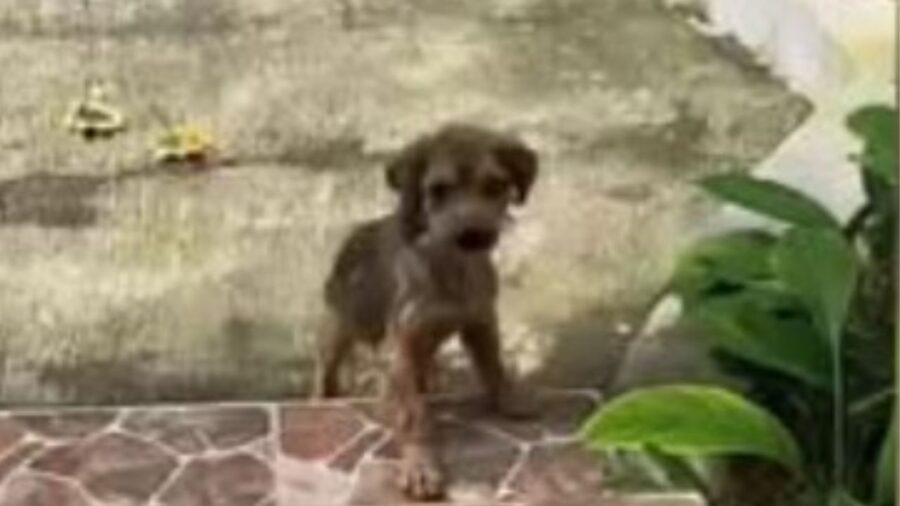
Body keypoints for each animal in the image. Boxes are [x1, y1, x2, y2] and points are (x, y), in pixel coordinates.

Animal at [316, 124, 536, 500]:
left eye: (494, 185)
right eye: (438, 190)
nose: (474, 236)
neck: (452, 267)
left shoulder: (480, 322)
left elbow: (494, 366)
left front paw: (509, 398)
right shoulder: (403, 341)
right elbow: (413, 413)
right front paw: (420, 465)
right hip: (340, 326)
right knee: (327, 372)